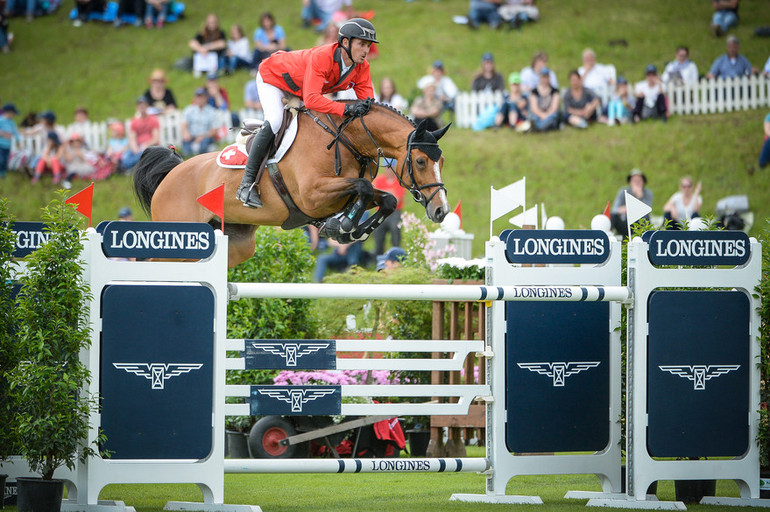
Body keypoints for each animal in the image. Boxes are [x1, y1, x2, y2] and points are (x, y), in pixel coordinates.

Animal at [132, 101, 450, 268]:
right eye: (421, 161)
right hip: (177, 238)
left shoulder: (341, 191)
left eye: (442, 162)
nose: (441, 211)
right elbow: (364, 187)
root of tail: (172, 173)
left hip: (236, 244)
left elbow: (384, 198)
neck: (347, 140)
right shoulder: (313, 195)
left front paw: (352, 231)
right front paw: (343, 227)